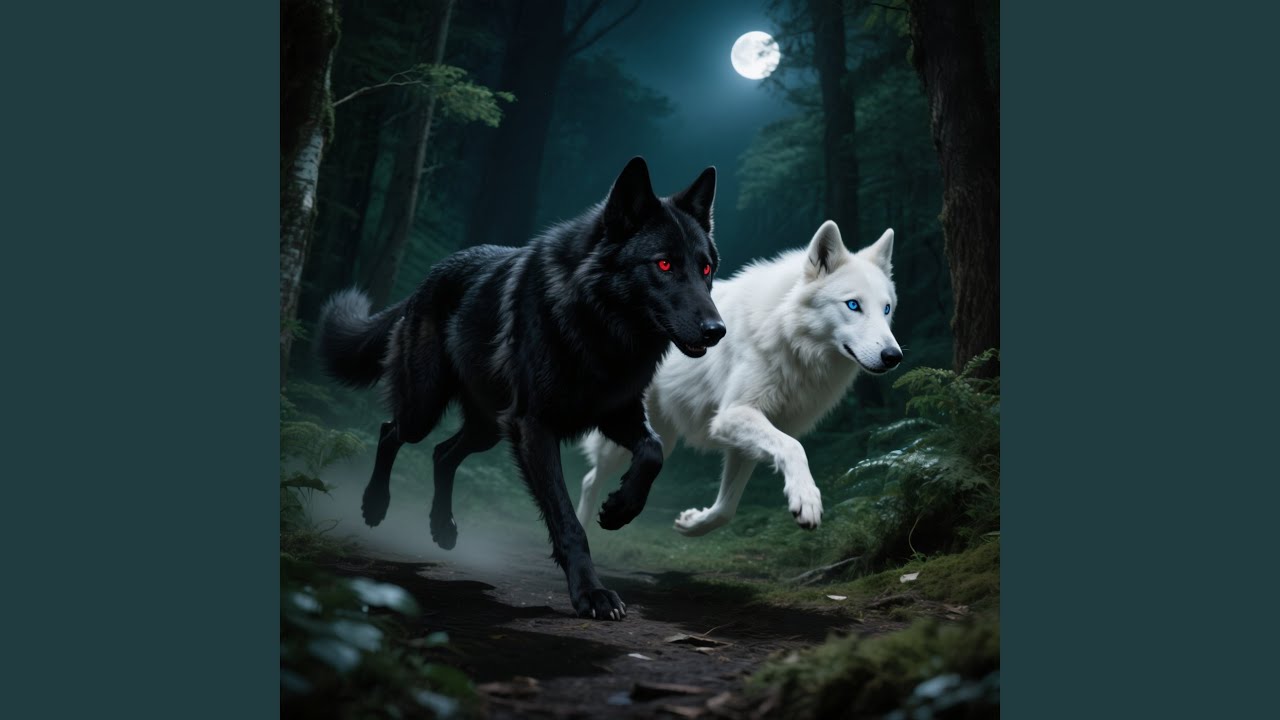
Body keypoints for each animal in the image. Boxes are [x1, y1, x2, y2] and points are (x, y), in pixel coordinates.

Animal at [316, 157, 725, 620]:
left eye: (705, 269)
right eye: (664, 265)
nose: (717, 331)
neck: (598, 327)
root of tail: (426, 280)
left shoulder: (615, 412)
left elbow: (653, 450)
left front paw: (620, 509)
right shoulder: (534, 427)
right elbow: (567, 520)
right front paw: (592, 593)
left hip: (488, 428)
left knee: (442, 454)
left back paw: (443, 528)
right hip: (426, 409)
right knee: (391, 432)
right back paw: (375, 505)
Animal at [576, 220, 901, 537]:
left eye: (886, 309)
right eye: (853, 305)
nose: (893, 356)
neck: (787, 337)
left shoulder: (746, 437)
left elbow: (727, 508)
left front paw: (693, 524)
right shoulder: (732, 415)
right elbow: (794, 448)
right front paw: (806, 499)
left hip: (661, 438)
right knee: (590, 479)